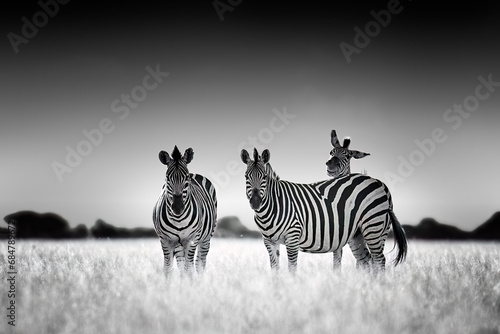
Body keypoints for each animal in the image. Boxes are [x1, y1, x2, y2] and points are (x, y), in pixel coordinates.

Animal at [151, 146, 216, 276]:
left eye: (186, 178)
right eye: (167, 178)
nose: (177, 208)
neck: (178, 219)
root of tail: (194, 173)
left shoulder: (192, 239)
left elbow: (189, 269)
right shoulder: (166, 240)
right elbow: (168, 268)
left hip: (206, 238)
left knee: (199, 263)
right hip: (178, 244)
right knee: (182, 265)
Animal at [240, 148, 408, 272]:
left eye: (264, 177)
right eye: (246, 176)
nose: (255, 202)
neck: (273, 205)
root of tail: (380, 183)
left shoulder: (292, 237)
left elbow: (292, 269)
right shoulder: (269, 241)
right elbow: (274, 270)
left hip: (373, 227)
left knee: (379, 261)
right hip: (358, 234)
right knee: (367, 261)